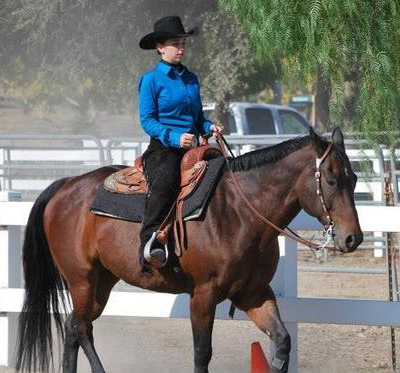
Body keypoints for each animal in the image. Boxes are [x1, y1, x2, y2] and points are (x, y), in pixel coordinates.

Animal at [14, 128, 362, 372]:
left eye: (355, 177)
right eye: (331, 180)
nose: (353, 238)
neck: (239, 212)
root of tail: (66, 186)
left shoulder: (253, 294)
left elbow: (283, 342)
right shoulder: (203, 295)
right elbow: (201, 353)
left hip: (102, 282)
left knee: (75, 329)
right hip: (81, 280)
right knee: (80, 327)